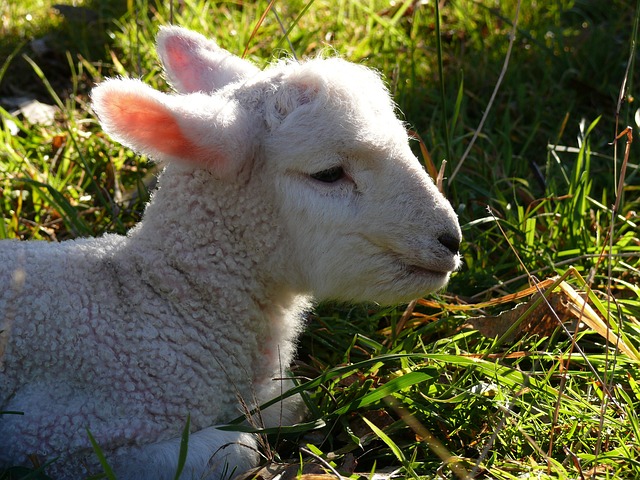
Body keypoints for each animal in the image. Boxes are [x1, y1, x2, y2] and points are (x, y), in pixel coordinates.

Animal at [0, 27, 460, 480]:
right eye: (329, 173)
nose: (451, 240)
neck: (166, 306)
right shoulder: (57, 436)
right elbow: (239, 450)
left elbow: (290, 405)